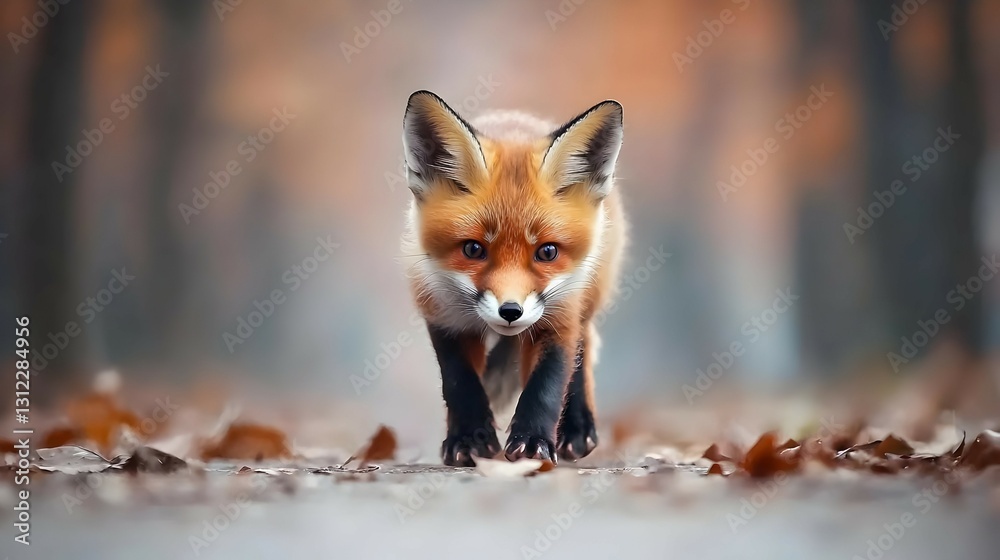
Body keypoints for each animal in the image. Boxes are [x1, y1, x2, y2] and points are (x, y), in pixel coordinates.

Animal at [399, 90, 627, 466]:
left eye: (547, 252)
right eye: (473, 249)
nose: (510, 312)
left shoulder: (558, 318)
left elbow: (547, 385)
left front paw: (533, 442)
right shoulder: (443, 316)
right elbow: (460, 384)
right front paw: (469, 440)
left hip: (586, 297)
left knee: (583, 349)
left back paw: (576, 428)